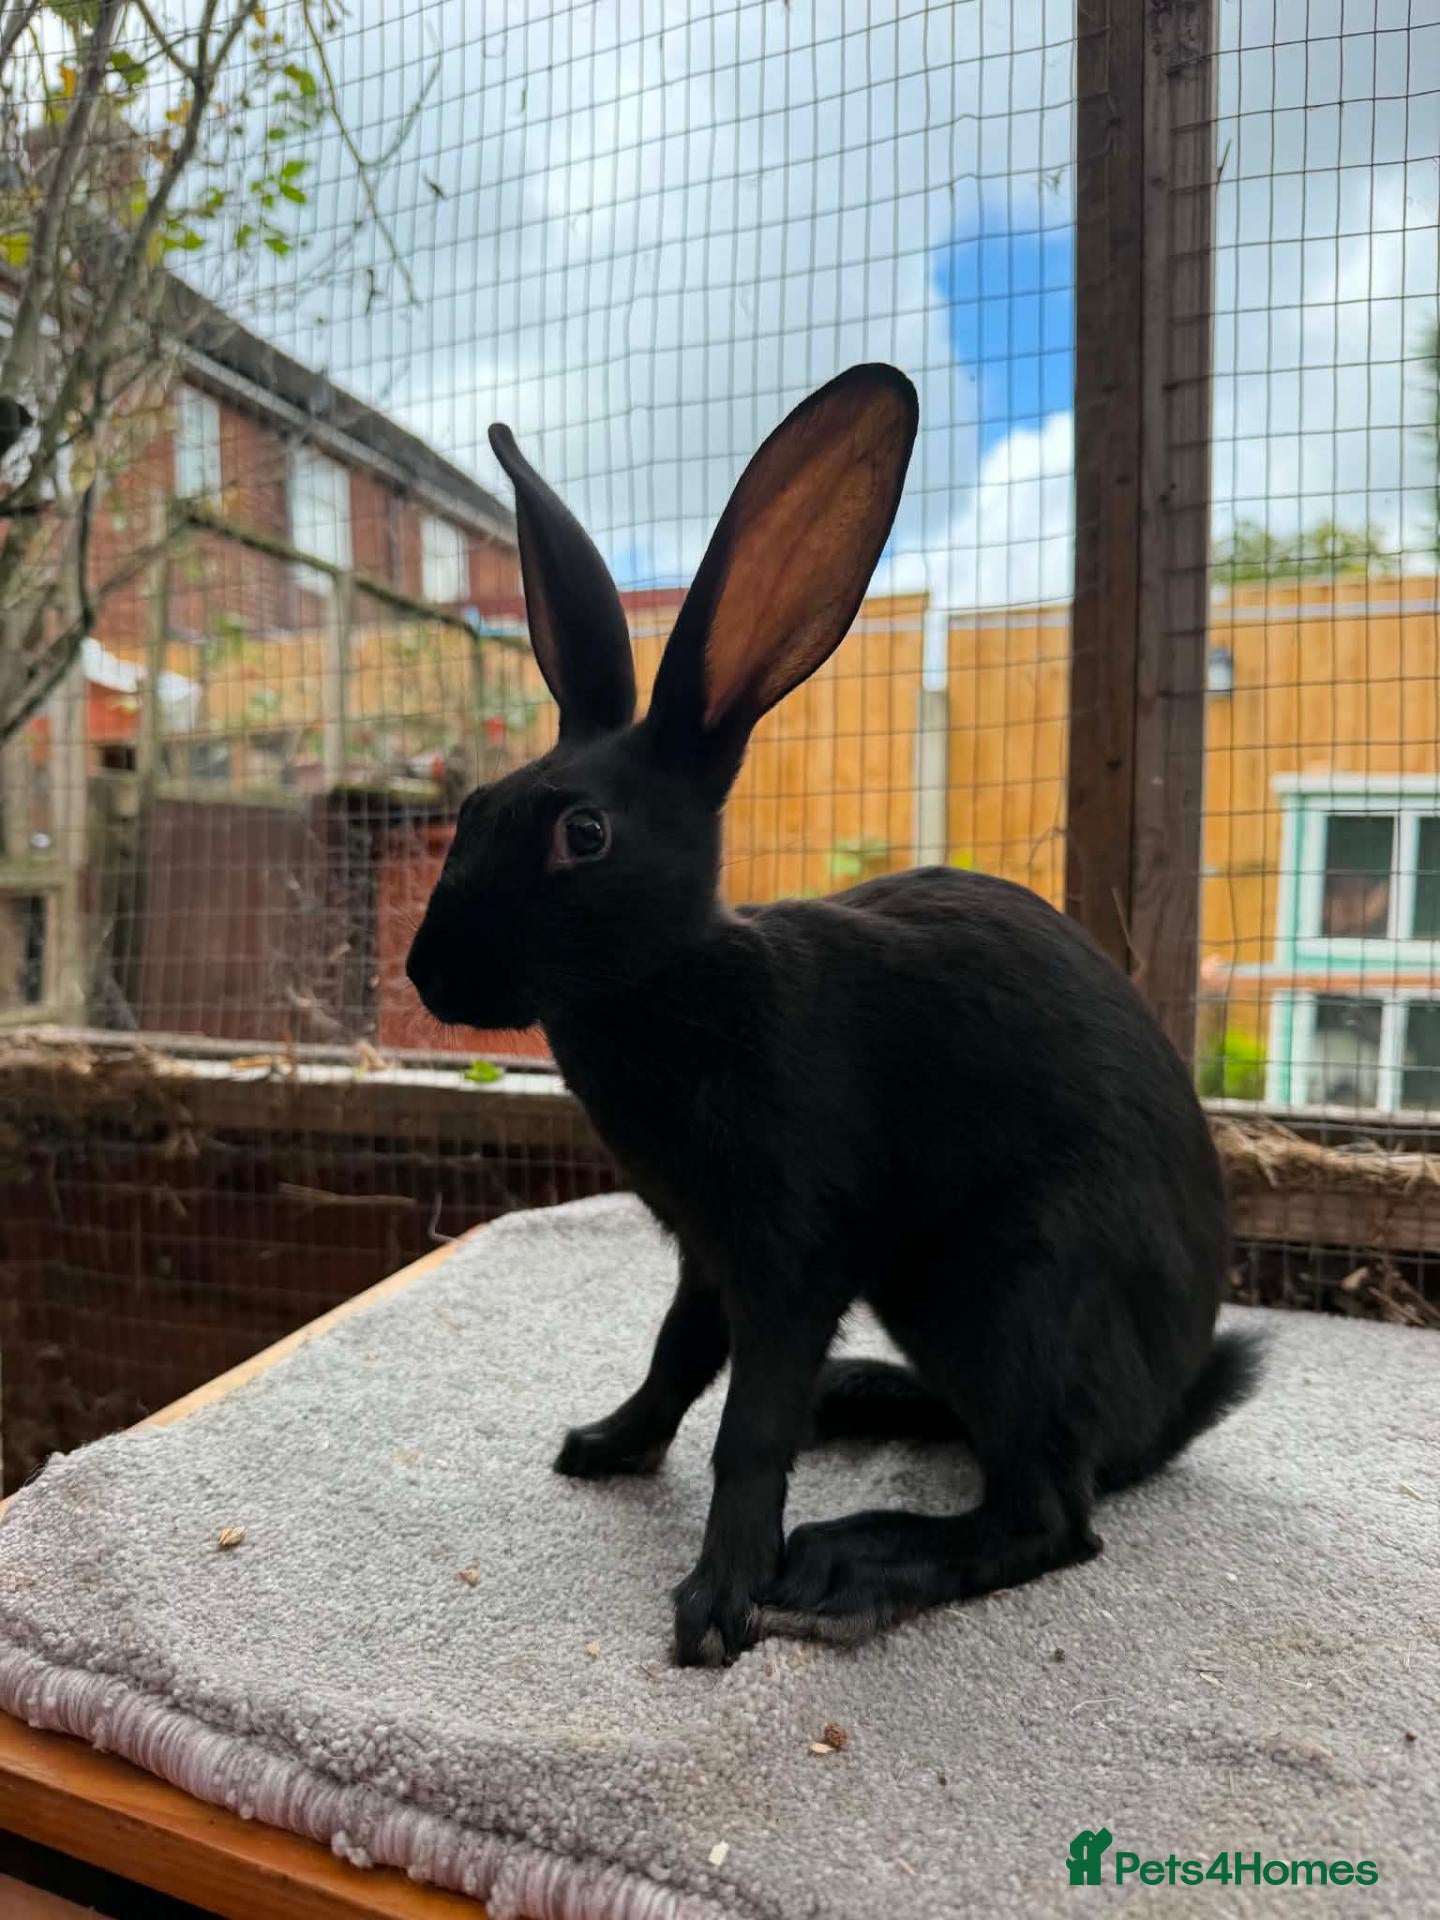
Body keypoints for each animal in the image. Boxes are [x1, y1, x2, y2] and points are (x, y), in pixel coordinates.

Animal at [407, 363, 1261, 1668]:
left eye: (583, 834)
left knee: (1049, 1515)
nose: (426, 977)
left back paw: (851, 1563)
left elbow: (747, 1426)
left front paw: (716, 1605)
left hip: (1017, 1284)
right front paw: (602, 1447)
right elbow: (675, 1360)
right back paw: (856, 1403)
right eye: (473, 810)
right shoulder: (706, 1254)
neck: (680, 989)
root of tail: (1171, 1407)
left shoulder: (789, 1254)